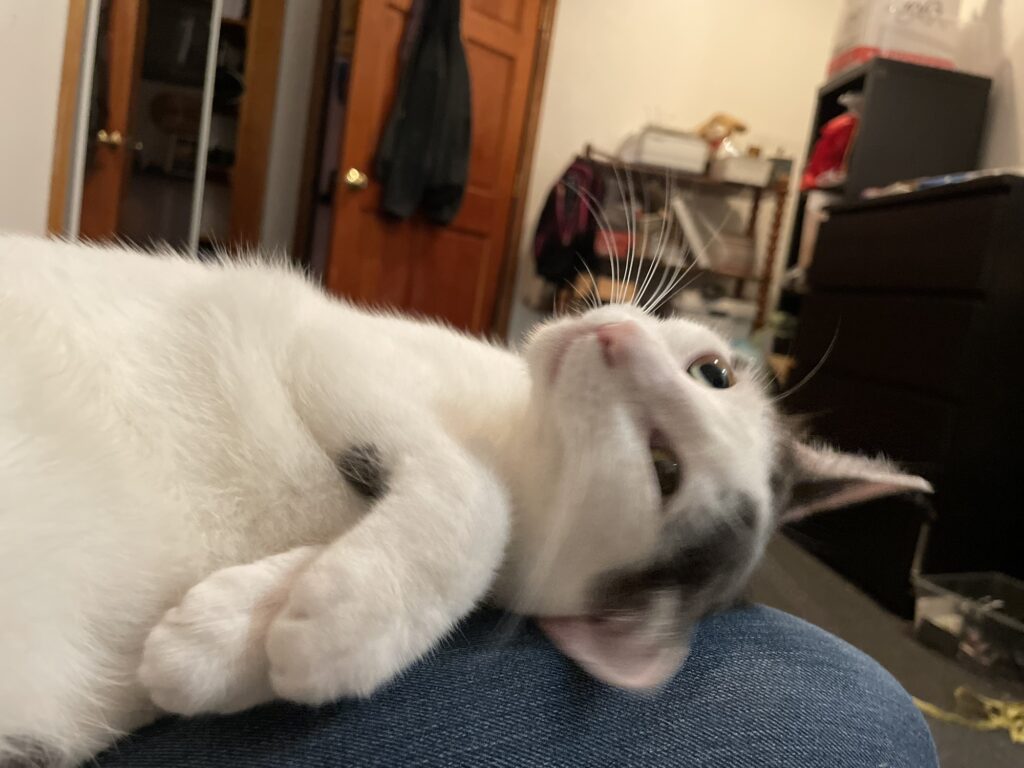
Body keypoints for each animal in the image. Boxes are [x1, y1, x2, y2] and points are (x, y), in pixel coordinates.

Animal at [0, 236, 929, 768]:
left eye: (665, 469)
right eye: (715, 372)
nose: (612, 336)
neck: (510, 433)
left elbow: (481, 522)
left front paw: (277, 631)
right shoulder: (321, 339)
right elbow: (480, 500)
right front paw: (254, 627)